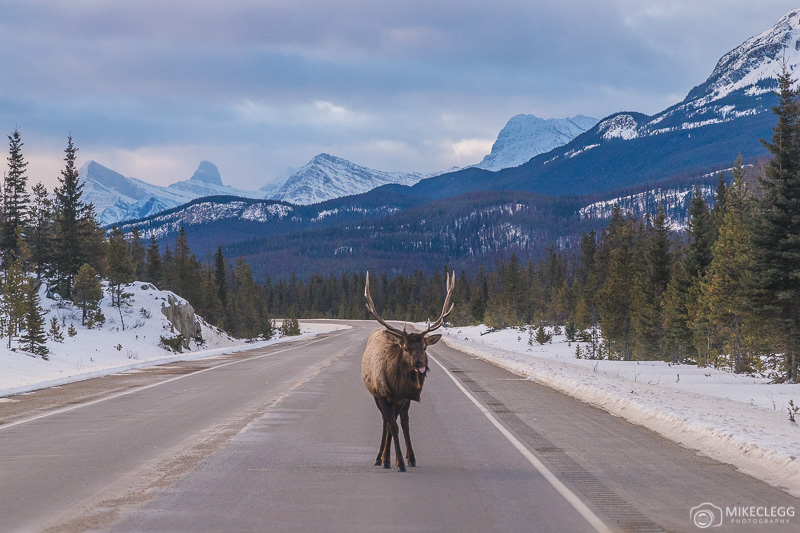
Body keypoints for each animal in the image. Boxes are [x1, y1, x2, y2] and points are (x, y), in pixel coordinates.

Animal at [361, 270, 455, 472]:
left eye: (425, 347)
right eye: (405, 347)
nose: (419, 363)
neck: (396, 385)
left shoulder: (404, 398)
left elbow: (402, 425)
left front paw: (406, 458)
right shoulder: (382, 395)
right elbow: (392, 427)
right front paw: (397, 462)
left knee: (395, 422)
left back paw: (390, 457)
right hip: (375, 395)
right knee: (386, 422)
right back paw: (380, 458)